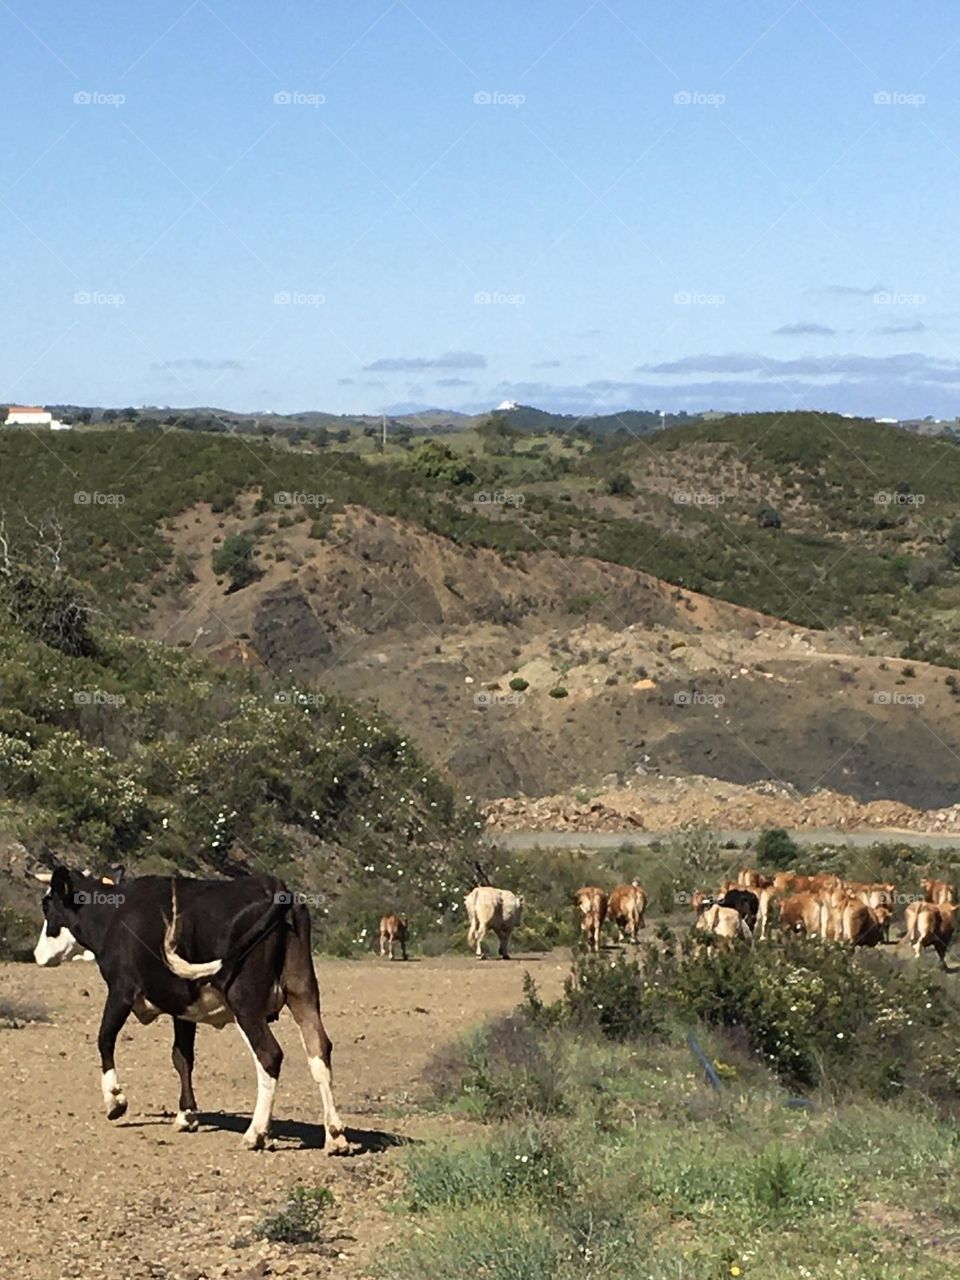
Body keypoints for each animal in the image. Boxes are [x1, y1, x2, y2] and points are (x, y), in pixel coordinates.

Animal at [37, 866, 348, 1153]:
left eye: (47, 905)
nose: (38, 955)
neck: (114, 915)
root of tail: (273, 886)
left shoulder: (121, 990)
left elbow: (105, 1038)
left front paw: (115, 1100)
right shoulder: (182, 1007)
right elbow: (182, 1057)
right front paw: (186, 1114)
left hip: (246, 1003)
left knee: (269, 1055)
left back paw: (256, 1133)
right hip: (303, 993)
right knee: (319, 1050)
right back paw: (335, 1135)